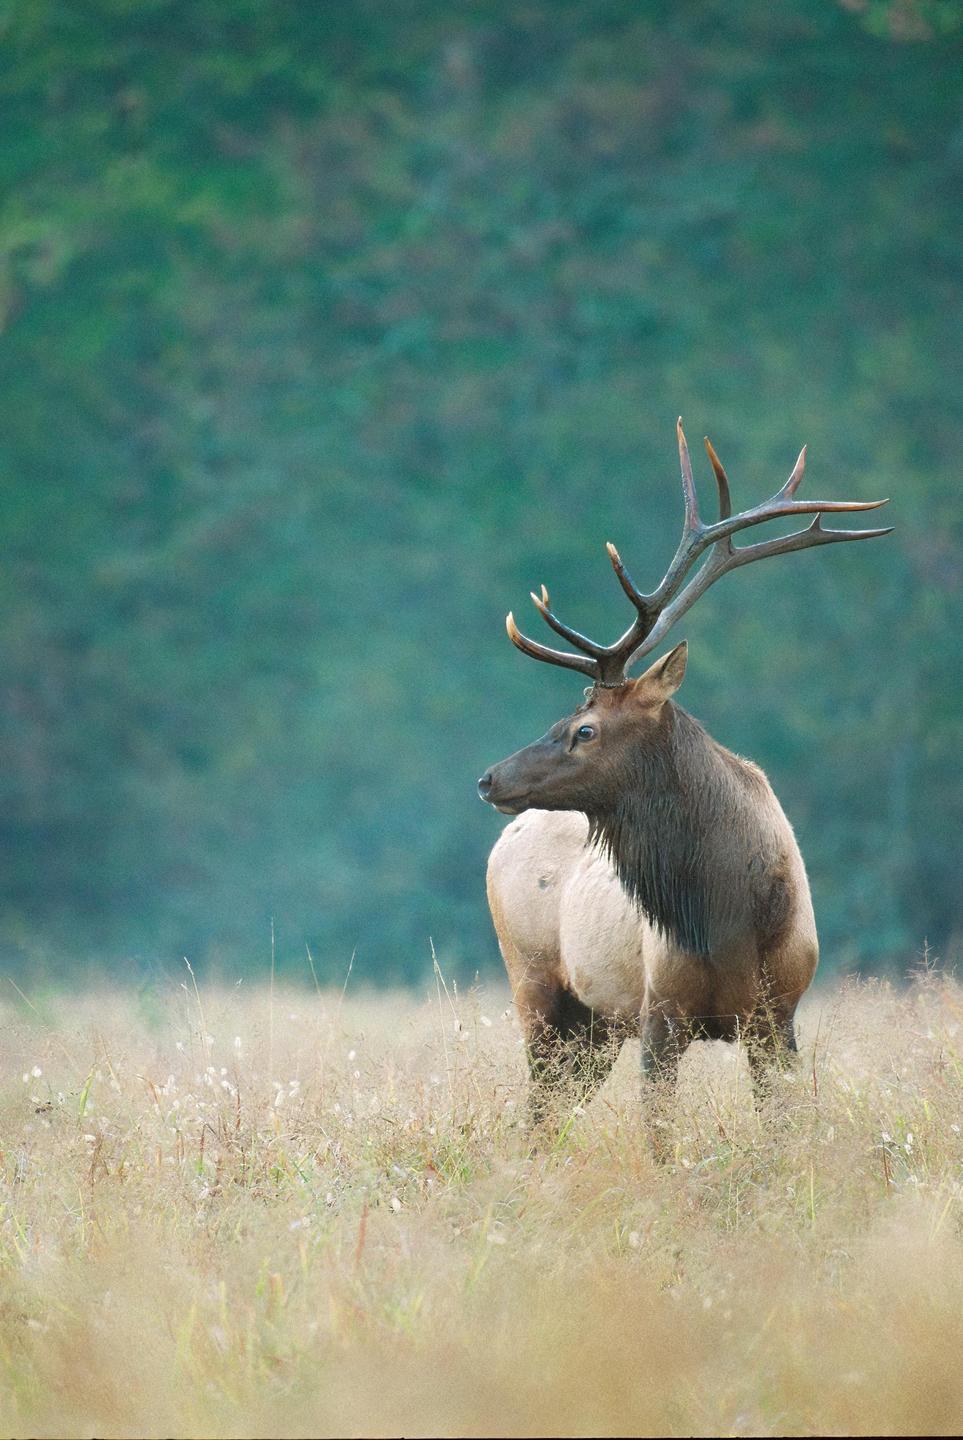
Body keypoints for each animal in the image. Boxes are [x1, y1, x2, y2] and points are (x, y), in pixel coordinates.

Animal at [477, 420, 890, 1154]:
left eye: (584, 729)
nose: (490, 776)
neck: (730, 916)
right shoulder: (659, 1012)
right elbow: (660, 1142)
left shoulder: (777, 1016)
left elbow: (782, 1131)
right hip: (535, 984)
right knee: (536, 1110)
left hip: (593, 1024)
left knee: (552, 1110)